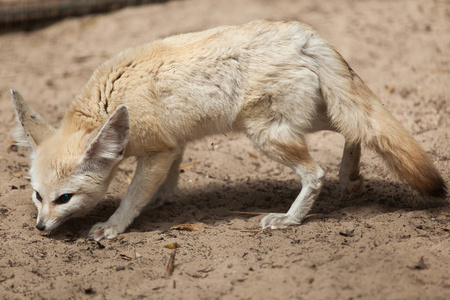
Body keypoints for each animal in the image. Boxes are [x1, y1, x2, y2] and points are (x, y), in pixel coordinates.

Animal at [11, 19, 446, 240]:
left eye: (64, 199)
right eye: (37, 196)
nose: (41, 227)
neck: (111, 100)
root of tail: (304, 34)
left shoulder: (157, 151)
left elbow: (133, 195)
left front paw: (115, 225)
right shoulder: (173, 146)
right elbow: (164, 182)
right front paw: (160, 200)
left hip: (268, 134)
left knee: (316, 172)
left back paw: (290, 219)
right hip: (304, 118)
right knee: (355, 130)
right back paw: (350, 177)